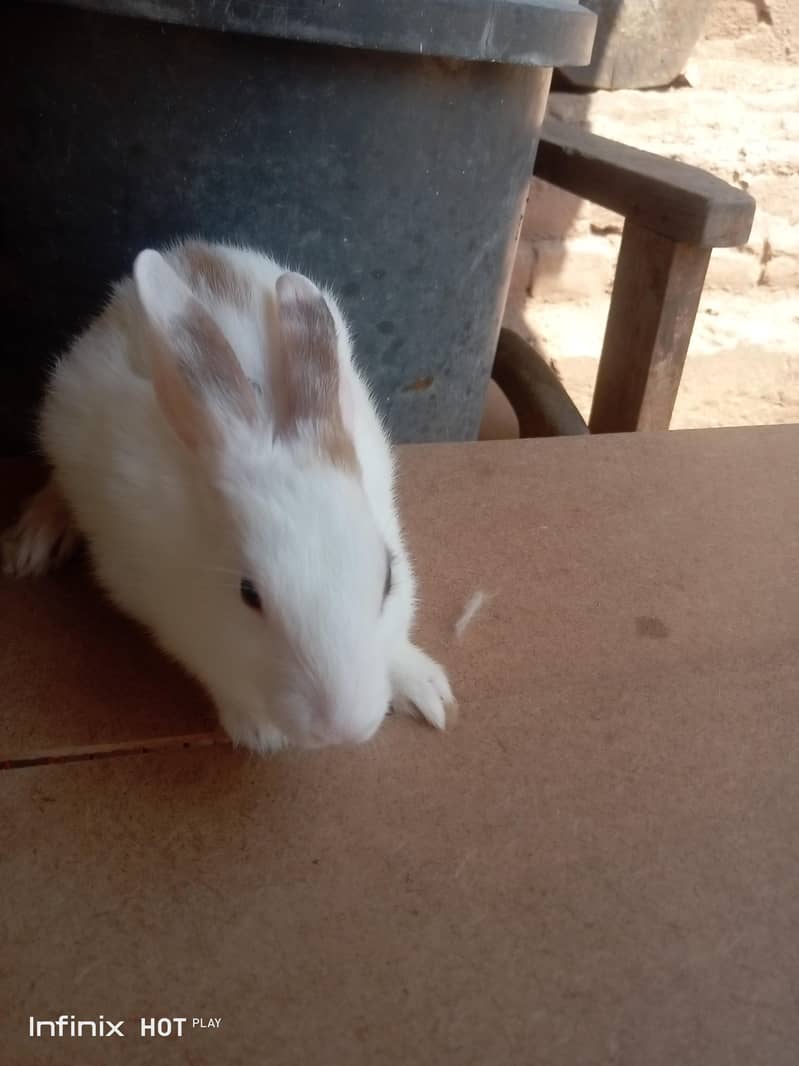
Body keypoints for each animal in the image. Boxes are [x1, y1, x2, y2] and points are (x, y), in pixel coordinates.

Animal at [1, 239, 455, 752]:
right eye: (248, 594)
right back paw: (32, 545)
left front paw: (427, 690)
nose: (342, 728)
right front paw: (259, 732)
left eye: (388, 579)